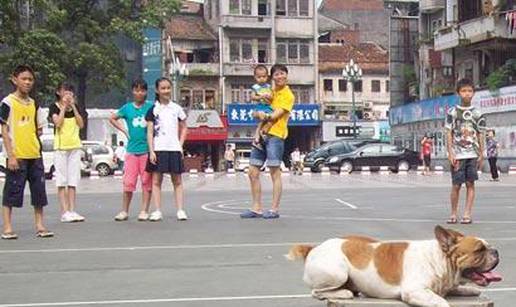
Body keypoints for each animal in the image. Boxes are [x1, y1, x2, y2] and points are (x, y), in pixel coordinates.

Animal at [286, 226, 500, 307]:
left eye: (487, 246)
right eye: (480, 250)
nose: (496, 251)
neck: (439, 258)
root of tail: (314, 248)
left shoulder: (446, 285)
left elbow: (460, 289)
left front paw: (469, 289)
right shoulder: (414, 291)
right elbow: (441, 302)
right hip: (337, 272)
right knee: (317, 292)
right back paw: (344, 293)